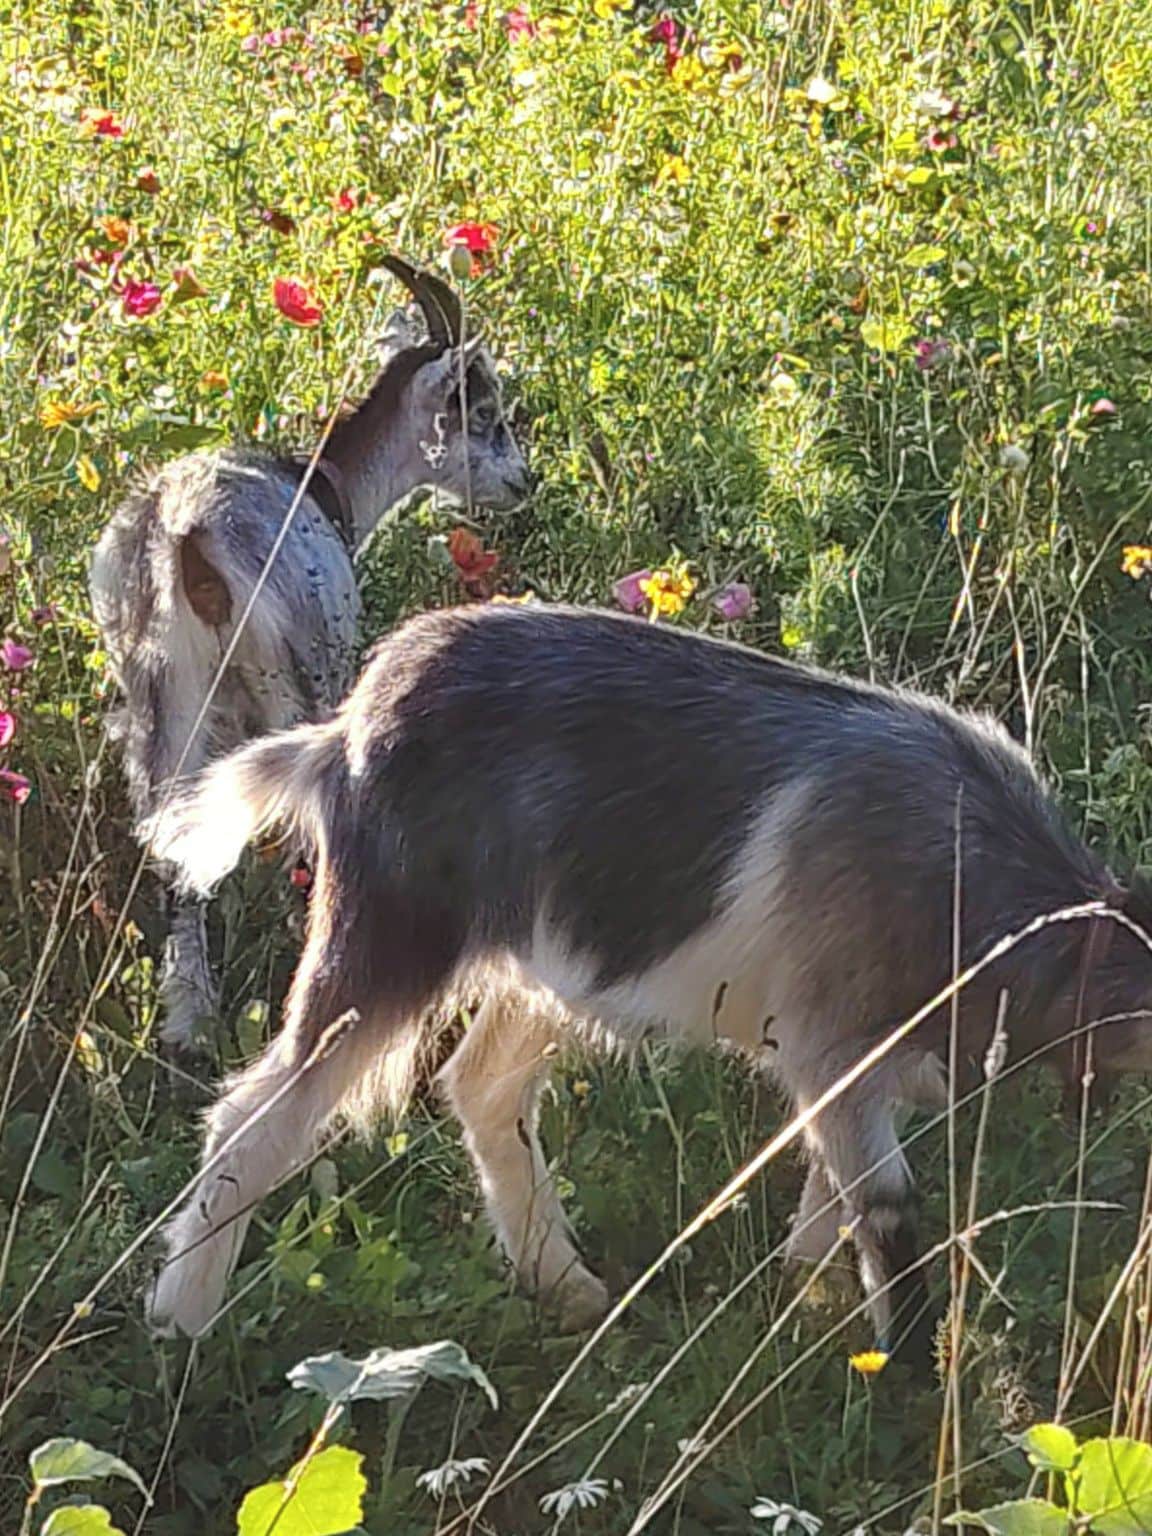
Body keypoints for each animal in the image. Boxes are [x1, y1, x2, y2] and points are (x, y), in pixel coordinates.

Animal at [90, 258, 530, 1049]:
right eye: (481, 409)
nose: (523, 480)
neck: (331, 486)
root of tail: (183, 534)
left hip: (160, 689)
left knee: (169, 829)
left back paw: (191, 1015)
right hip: (292, 673)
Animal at [144, 602, 1152, 1350]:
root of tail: (340, 735)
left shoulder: (874, 1065)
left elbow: (832, 1199)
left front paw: (800, 1303)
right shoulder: (833, 1042)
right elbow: (887, 1208)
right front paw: (900, 1381)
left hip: (547, 964)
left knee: (481, 1086)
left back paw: (569, 1287)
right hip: (387, 936)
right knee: (259, 1115)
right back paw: (181, 1321)